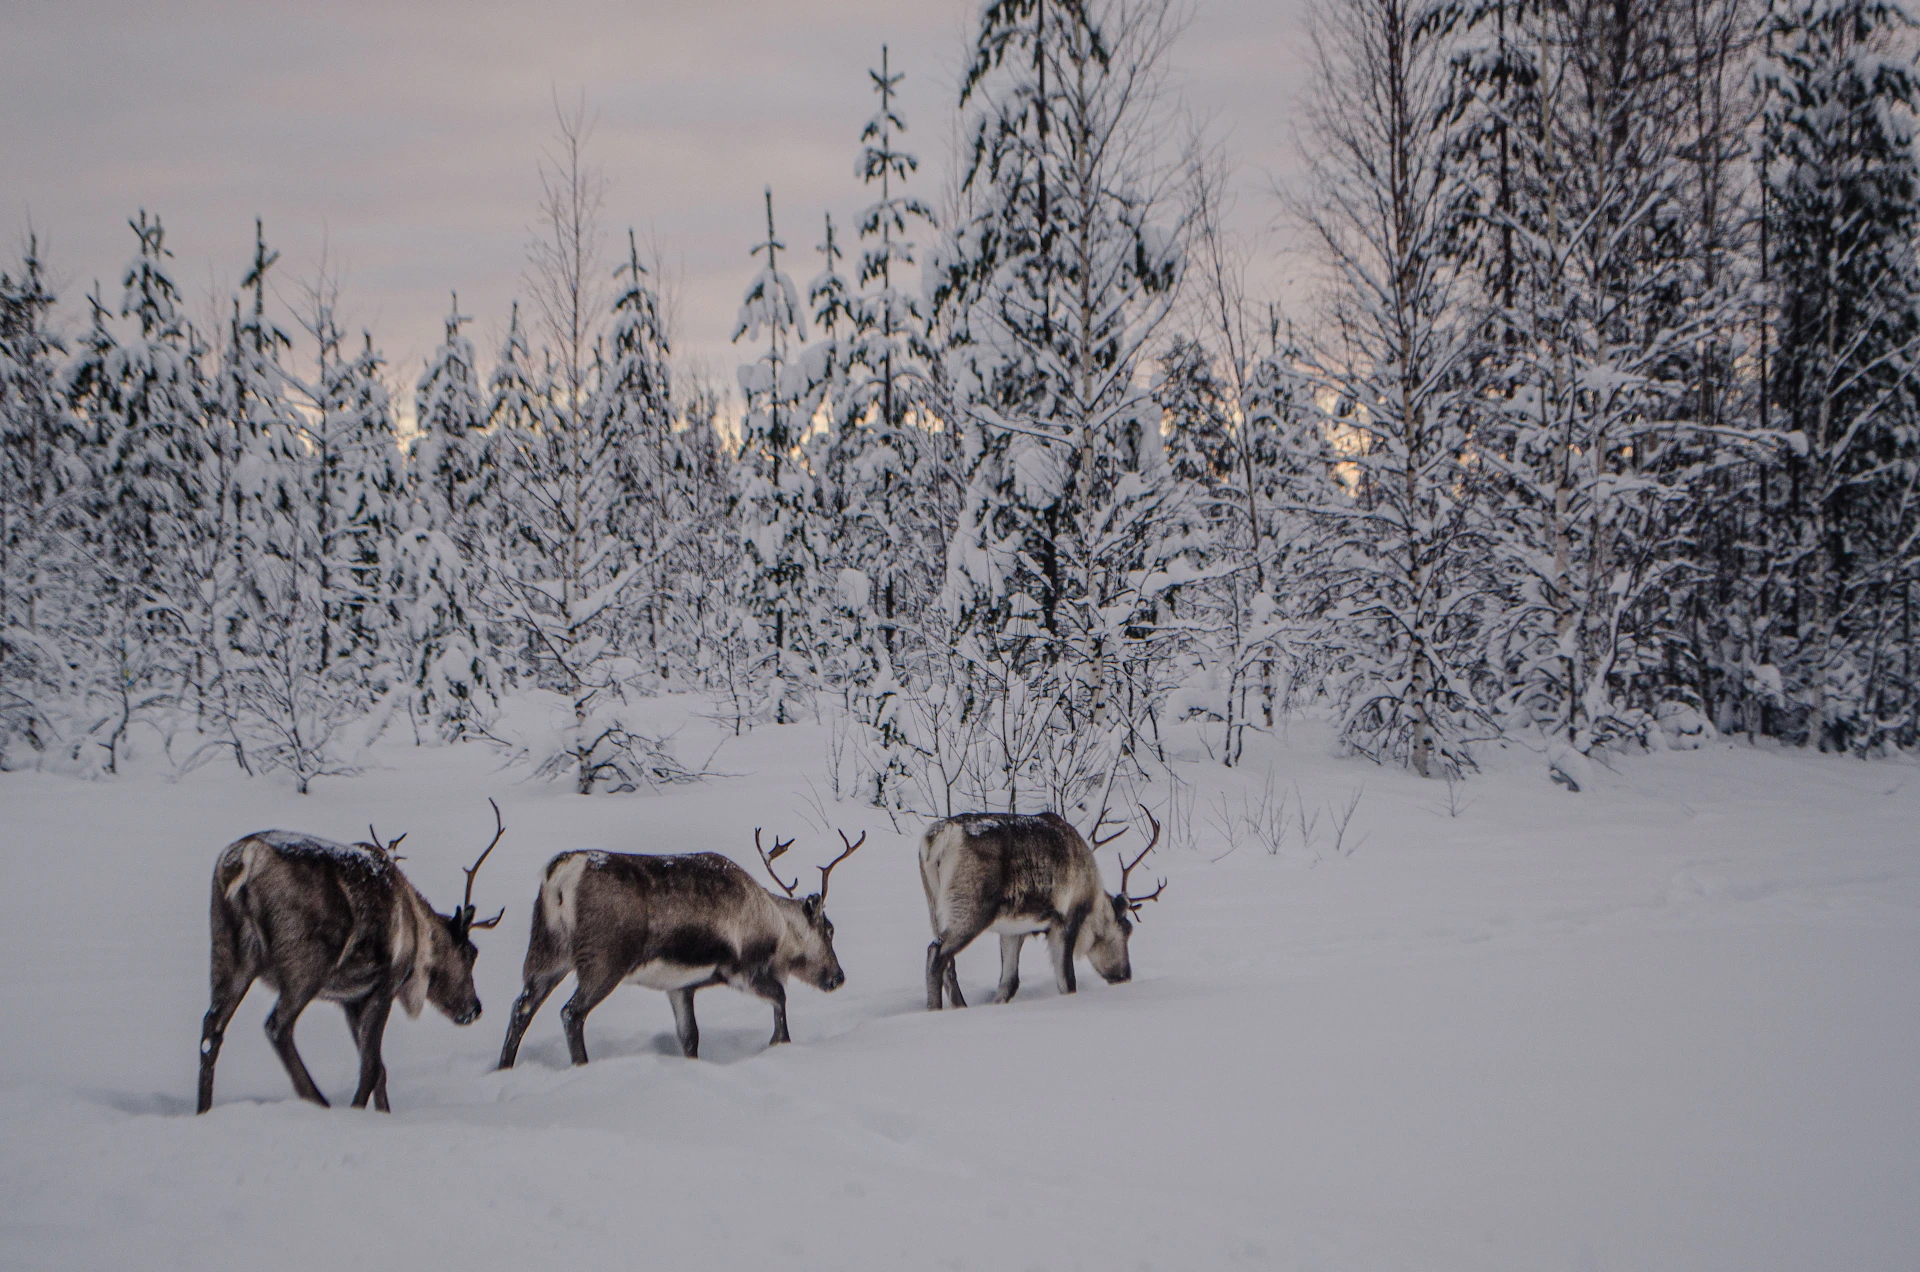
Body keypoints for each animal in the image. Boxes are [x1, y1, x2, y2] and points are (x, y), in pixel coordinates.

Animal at [196, 802, 506, 1114]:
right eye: (471, 953)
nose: (475, 1009)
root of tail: (246, 859)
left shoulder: (350, 1000)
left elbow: (379, 1069)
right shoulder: (385, 986)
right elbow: (371, 1067)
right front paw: (359, 1110)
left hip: (228, 952)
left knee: (212, 1030)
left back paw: (203, 1109)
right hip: (305, 965)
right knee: (277, 1026)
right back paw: (320, 1101)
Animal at [496, 829, 863, 1069]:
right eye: (829, 929)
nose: (838, 977)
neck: (776, 927)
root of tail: (558, 876)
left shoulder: (680, 987)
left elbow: (689, 1037)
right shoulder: (743, 970)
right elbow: (781, 999)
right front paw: (778, 1044)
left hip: (547, 952)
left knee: (521, 1008)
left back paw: (504, 1067)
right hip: (604, 962)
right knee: (571, 1013)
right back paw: (582, 1066)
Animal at [920, 806, 1164, 1010]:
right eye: (1127, 930)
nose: (1125, 976)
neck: (1093, 899)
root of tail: (936, 838)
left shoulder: (1013, 930)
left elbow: (1008, 983)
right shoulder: (1065, 921)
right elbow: (1067, 981)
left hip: (935, 908)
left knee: (948, 964)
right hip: (971, 907)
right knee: (936, 953)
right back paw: (935, 1010)